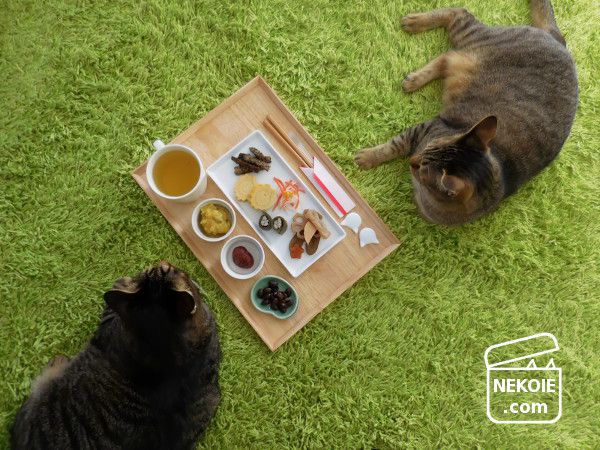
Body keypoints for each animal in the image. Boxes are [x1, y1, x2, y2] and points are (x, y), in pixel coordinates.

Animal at [355, 0, 578, 225]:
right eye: (430, 146)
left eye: (422, 168)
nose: (412, 159)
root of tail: (560, 42)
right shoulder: (428, 126)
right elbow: (394, 145)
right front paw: (368, 158)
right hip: (471, 34)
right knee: (458, 12)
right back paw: (415, 24)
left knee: (447, 56)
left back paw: (415, 78)